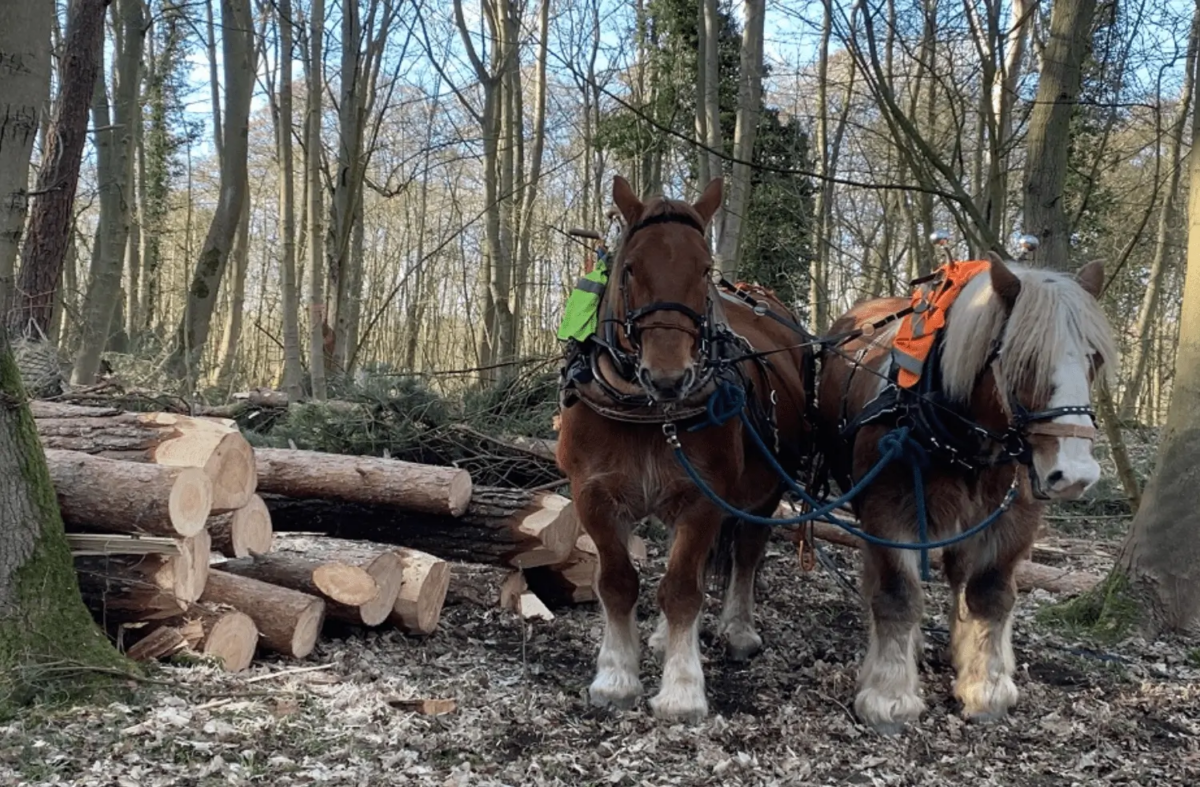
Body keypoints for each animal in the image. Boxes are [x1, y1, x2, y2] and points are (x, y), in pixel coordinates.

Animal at [555, 175, 815, 722]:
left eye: (705, 269)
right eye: (630, 267)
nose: (670, 377)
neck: (648, 411)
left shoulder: (704, 497)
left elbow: (682, 589)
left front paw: (681, 689)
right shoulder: (592, 494)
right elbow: (618, 582)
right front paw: (616, 676)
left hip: (764, 490)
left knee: (746, 552)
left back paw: (737, 629)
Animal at [813, 252, 1117, 733]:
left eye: (1094, 359)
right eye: (1025, 360)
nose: (1075, 474)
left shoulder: (1014, 516)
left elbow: (990, 594)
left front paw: (986, 685)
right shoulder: (887, 511)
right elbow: (897, 594)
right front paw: (889, 695)